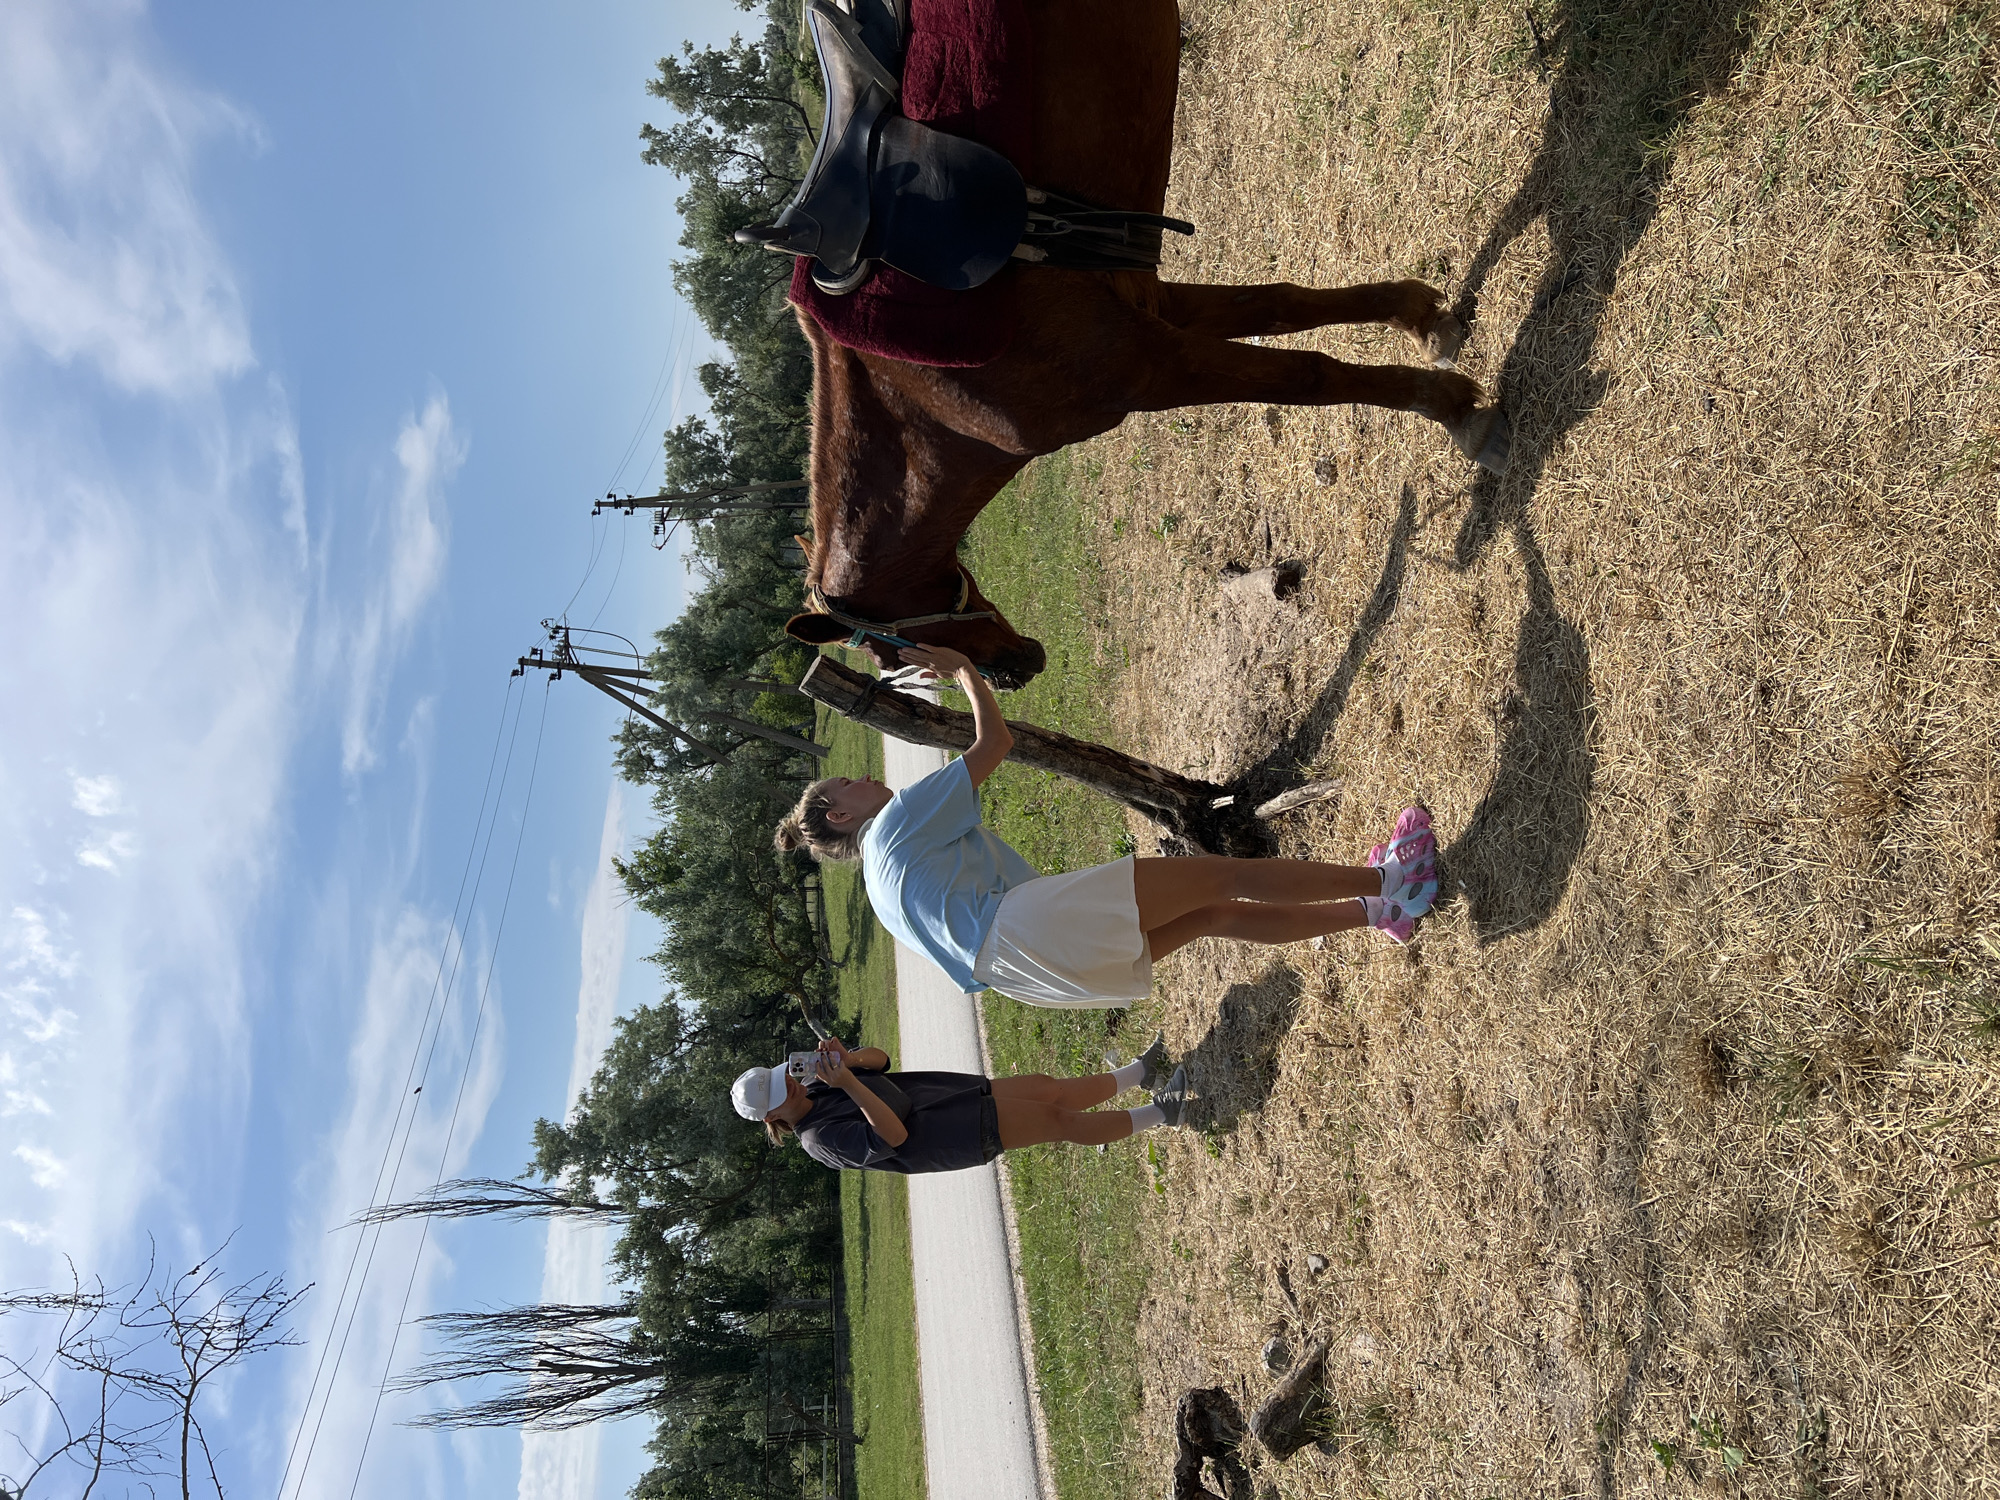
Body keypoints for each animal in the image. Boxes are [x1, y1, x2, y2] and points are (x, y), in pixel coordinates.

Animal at [781, 0, 1508, 690]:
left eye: (894, 649)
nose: (1015, 671)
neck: (936, 404)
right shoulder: (1154, 314)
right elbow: (1281, 305)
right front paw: (1425, 320)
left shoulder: (1154, 367)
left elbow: (1308, 376)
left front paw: (1457, 412)